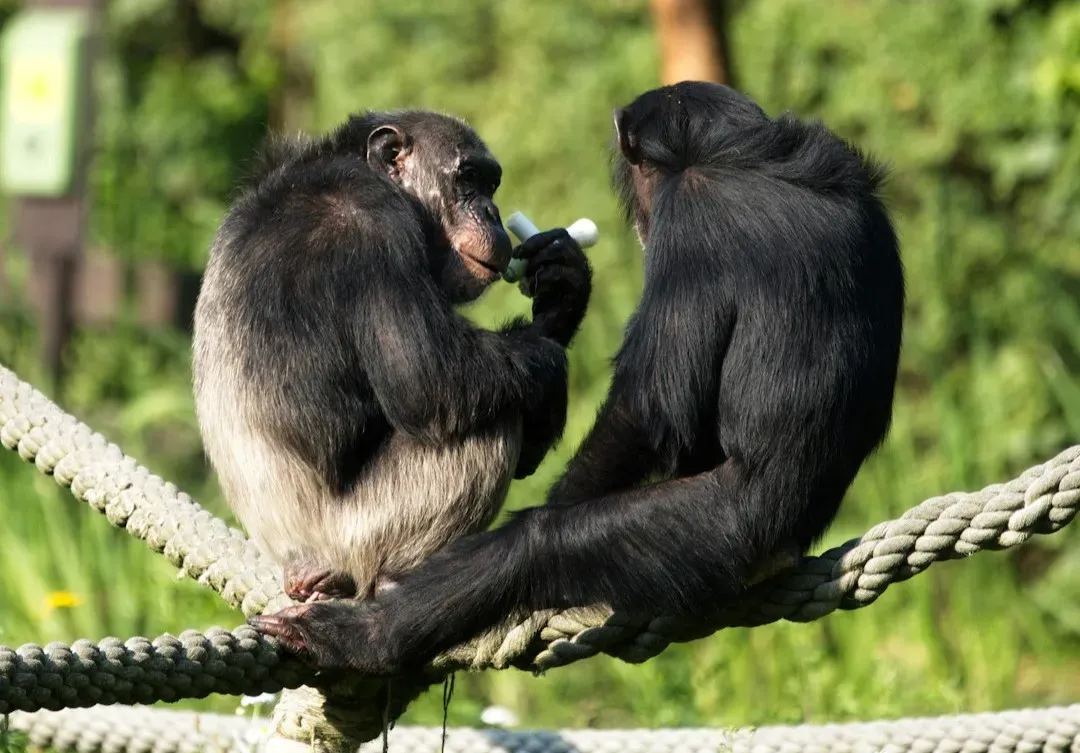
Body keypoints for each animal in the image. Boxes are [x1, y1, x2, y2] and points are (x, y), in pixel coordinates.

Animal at [192, 109, 592, 604]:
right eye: (468, 178)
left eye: (490, 184)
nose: (491, 212)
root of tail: (294, 569)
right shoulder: (372, 222)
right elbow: (431, 379)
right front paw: (550, 368)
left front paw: (564, 281)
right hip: (363, 532)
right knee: (489, 423)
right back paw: (397, 581)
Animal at [248, 81, 905, 677]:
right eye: (471, 185)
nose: (492, 213)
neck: (748, 155)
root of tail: (787, 544)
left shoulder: (690, 215)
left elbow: (648, 409)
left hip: (717, 531)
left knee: (539, 545)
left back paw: (367, 636)